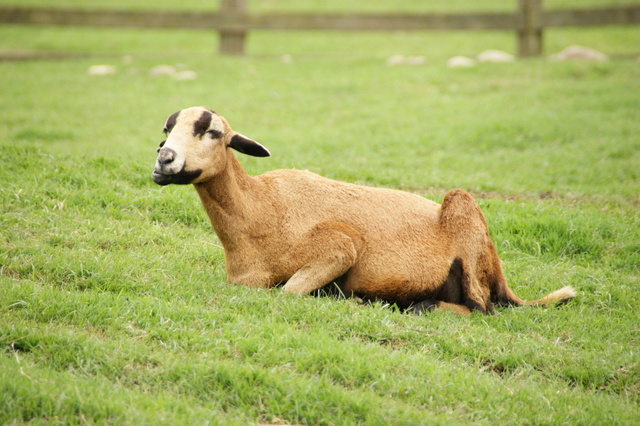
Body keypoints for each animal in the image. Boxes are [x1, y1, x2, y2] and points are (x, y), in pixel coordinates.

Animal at [150, 106, 576, 312]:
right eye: (165, 131)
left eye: (213, 132)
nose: (164, 161)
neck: (260, 210)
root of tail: (500, 274)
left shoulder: (340, 246)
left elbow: (288, 292)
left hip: (464, 213)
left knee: (480, 308)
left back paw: (416, 306)